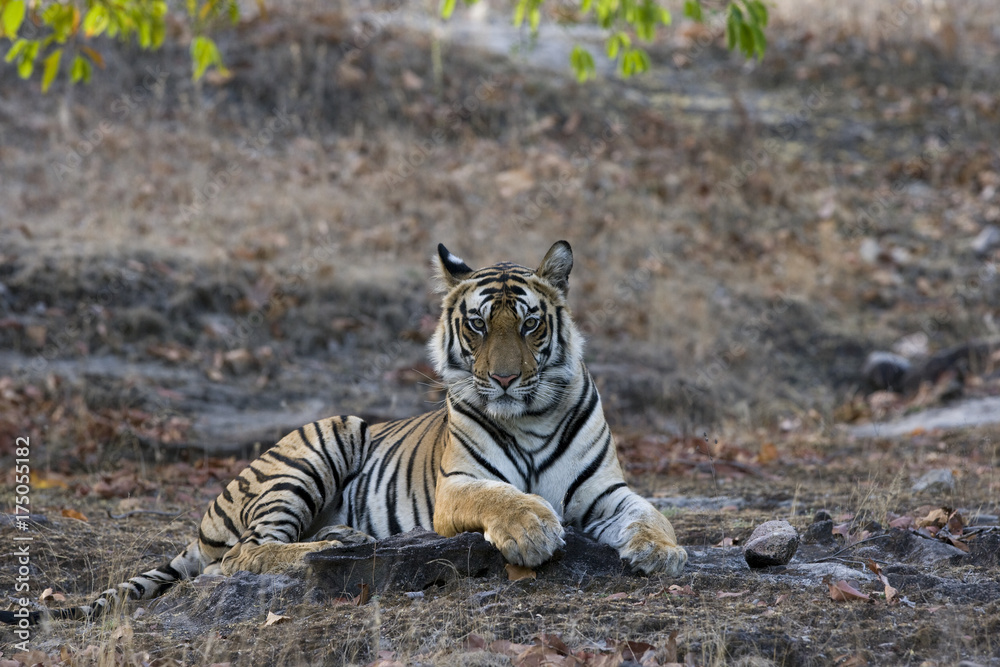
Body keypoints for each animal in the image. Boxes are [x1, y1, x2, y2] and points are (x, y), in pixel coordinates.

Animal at [1, 240, 686, 625]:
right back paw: (340, 545)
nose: (505, 379)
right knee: (251, 552)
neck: (533, 416)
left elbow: (649, 511)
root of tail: (204, 520)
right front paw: (533, 530)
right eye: (477, 326)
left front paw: (664, 552)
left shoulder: (606, 491)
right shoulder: (459, 485)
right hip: (316, 446)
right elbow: (505, 498)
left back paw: (343, 535)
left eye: (528, 325)